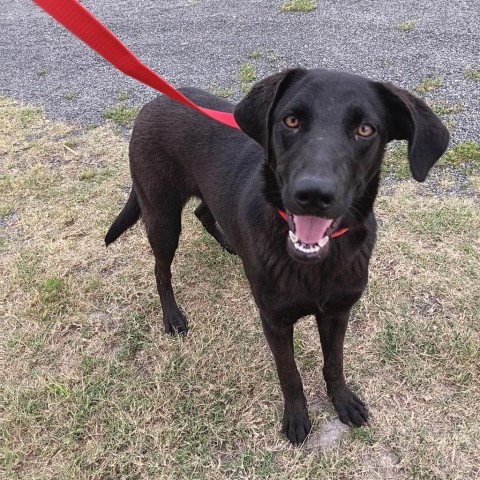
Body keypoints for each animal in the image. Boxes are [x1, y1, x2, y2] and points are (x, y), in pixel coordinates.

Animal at [106, 69, 450, 444]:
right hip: (162, 215)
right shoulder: (275, 321)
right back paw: (172, 317)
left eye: (365, 129)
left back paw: (229, 243)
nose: (313, 194)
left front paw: (342, 400)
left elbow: (334, 363)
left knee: (202, 211)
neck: (315, 264)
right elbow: (290, 373)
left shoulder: (337, 312)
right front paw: (297, 417)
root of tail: (154, 102)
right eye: (291, 120)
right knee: (161, 269)